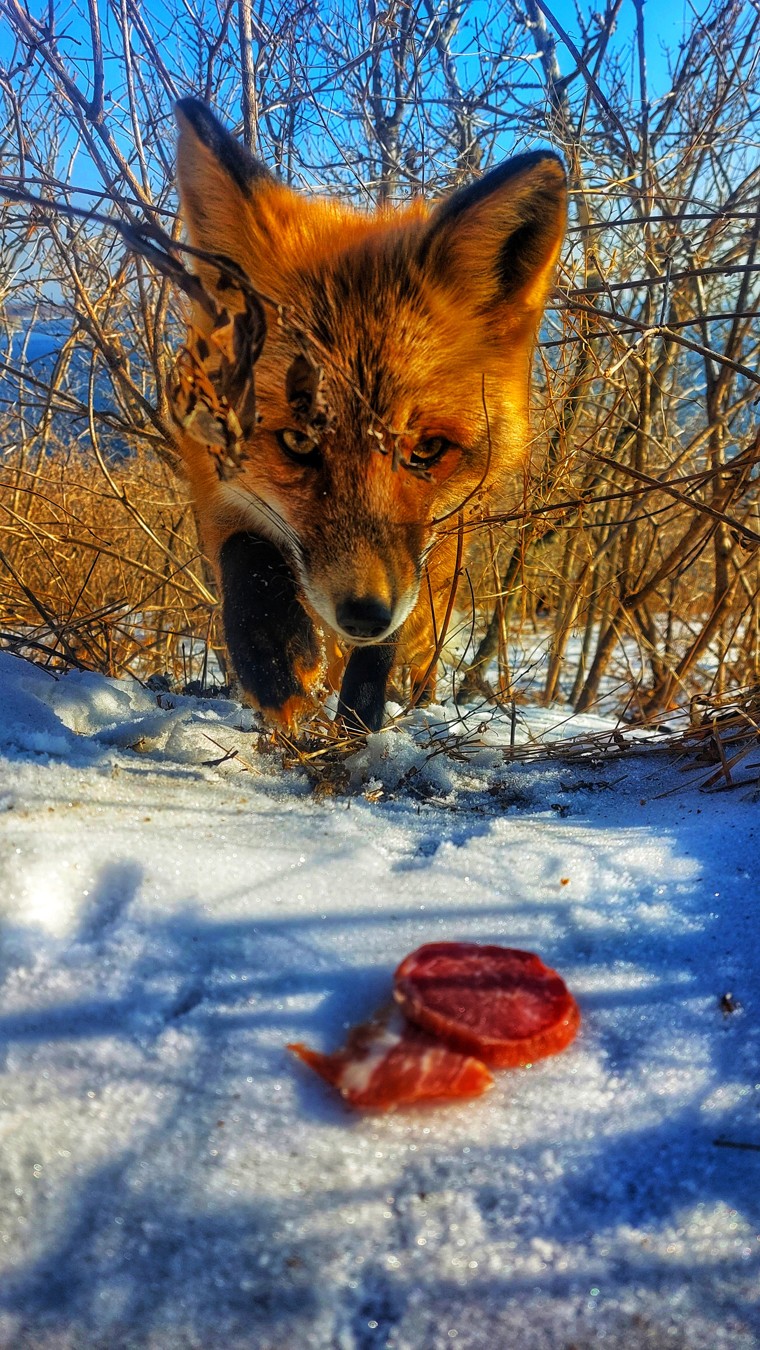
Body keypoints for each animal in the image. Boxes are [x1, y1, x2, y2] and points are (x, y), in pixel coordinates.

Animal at [172, 99, 564, 734]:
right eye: (297, 442)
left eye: (426, 450)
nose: (363, 613)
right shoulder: (214, 483)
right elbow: (245, 561)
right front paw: (275, 669)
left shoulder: (427, 549)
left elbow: (386, 647)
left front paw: (361, 717)